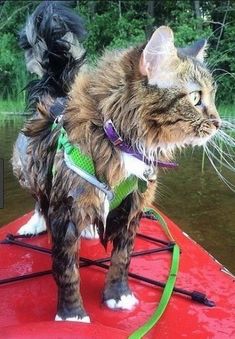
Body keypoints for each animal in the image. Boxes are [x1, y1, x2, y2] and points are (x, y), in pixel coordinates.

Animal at [11, 1, 220, 322]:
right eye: (196, 98)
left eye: (214, 95)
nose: (219, 123)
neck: (120, 140)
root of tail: (57, 96)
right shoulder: (65, 209)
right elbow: (67, 270)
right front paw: (72, 315)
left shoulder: (133, 206)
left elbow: (122, 259)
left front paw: (118, 296)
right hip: (29, 167)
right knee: (39, 198)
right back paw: (34, 223)